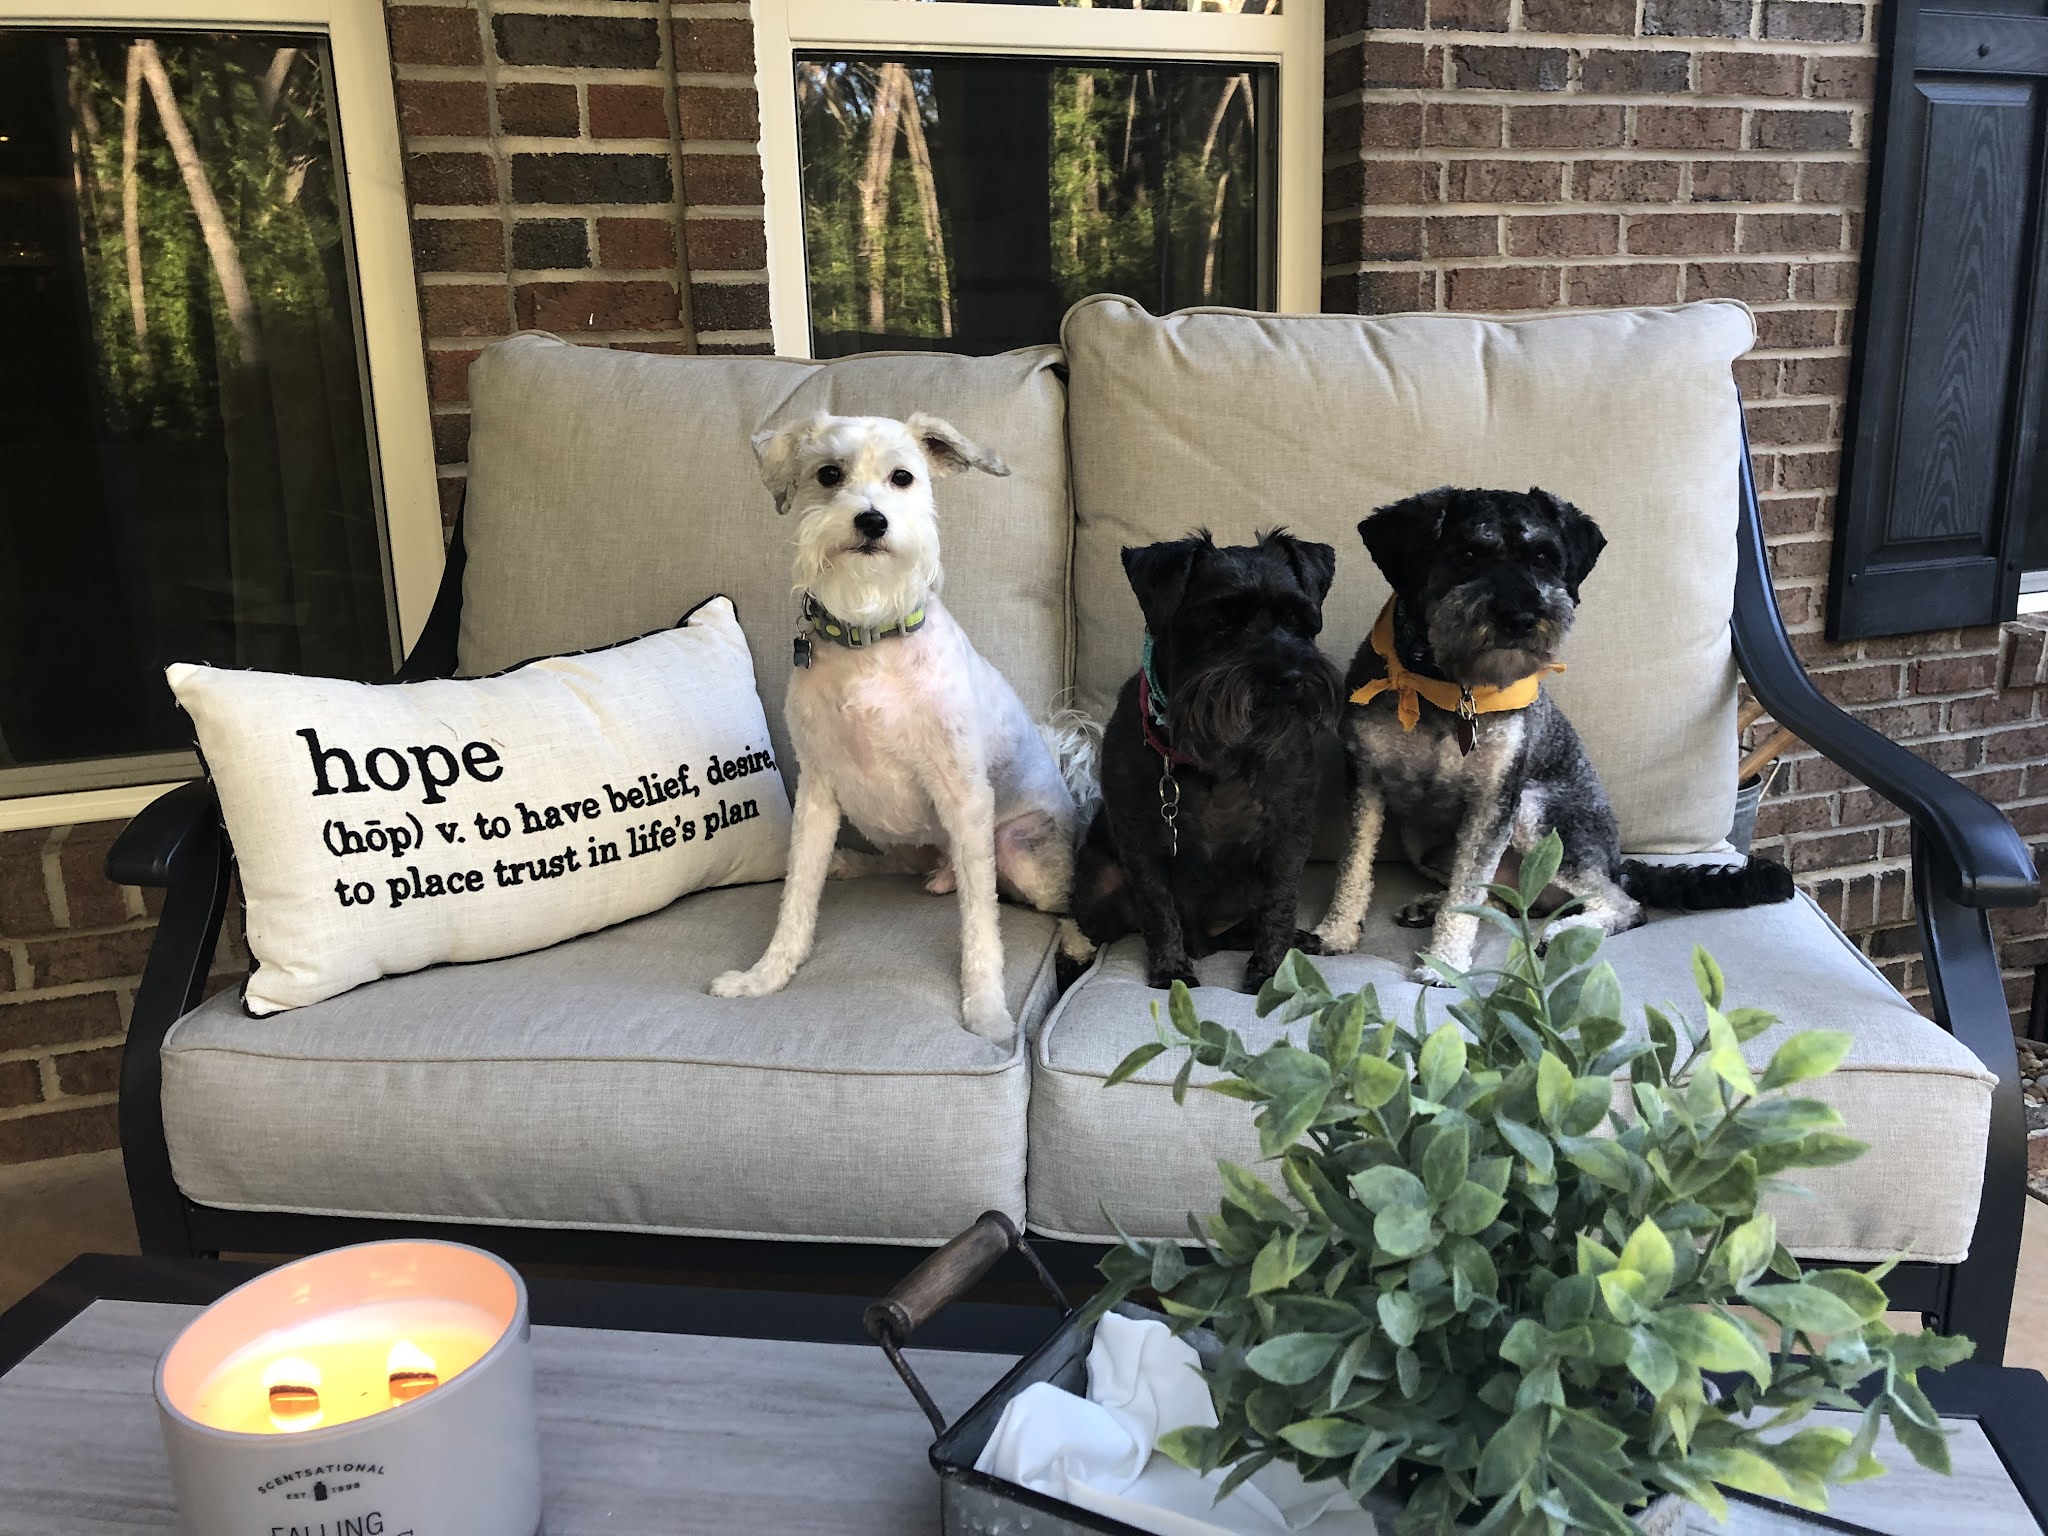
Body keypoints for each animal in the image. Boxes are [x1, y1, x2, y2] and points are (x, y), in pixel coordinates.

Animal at [709, 412, 1087, 1043]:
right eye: (828, 474)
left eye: (903, 477)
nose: (872, 520)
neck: (871, 638)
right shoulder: (817, 789)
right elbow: (797, 895)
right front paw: (765, 976)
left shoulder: (963, 795)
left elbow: (981, 927)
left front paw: (986, 1010)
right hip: (885, 825)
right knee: (901, 862)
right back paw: (857, 864)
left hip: (1020, 852)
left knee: (1057, 903)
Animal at [1071, 530, 1344, 994]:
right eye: (1220, 623)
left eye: (1296, 619)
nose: (1289, 676)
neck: (1218, 753)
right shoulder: (1139, 840)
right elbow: (1158, 906)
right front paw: (1170, 970)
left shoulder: (1289, 836)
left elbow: (1280, 906)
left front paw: (1271, 972)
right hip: (1096, 891)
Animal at [1311, 485, 1793, 982]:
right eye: (1467, 555)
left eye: (1544, 559)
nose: (1523, 618)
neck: (1443, 687)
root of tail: (1618, 861)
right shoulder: (1366, 779)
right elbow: (1355, 865)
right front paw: (1337, 932)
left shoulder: (1495, 800)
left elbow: (1467, 892)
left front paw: (1445, 964)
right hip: (1424, 842)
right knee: (1508, 900)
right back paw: (1432, 905)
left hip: (1537, 813)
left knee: (1621, 904)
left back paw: (1562, 931)